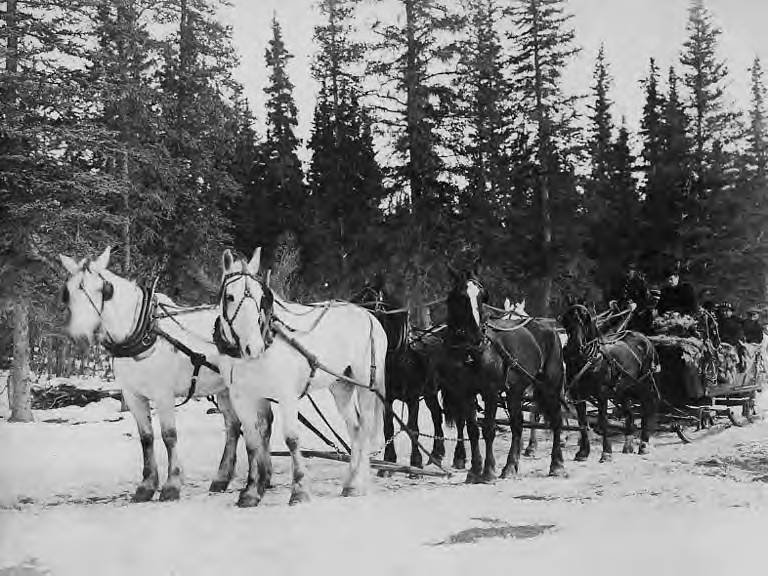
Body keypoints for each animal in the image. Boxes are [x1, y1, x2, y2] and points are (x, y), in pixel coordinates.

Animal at [59, 245, 272, 502]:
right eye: (67, 292)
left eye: (105, 290)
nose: (79, 337)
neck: (142, 333)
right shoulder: (132, 395)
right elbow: (146, 437)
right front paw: (146, 486)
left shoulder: (163, 394)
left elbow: (169, 435)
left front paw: (172, 485)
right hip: (224, 390)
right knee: (233, 426)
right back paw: (223, 478)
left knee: (262, 425)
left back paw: (261, 478)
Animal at [214, 250, 384, 506]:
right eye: (230, 296)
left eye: (261, 297)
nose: (253, 347)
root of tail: (368, 315)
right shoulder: (244, 397)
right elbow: (253, 442)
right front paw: (251, 492)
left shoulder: (287, 395)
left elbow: (292, 439)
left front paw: (299, 490)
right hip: (341, 385)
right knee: (354, 428)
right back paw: (350, 481)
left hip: (365, 383)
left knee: (364, 427)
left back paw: (357, 483)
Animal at [352, 284, 448, 472]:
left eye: (368, 301)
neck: (399, 357)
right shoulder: (387, 398)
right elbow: (388, 428)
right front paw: (388, 463)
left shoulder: (413, 398)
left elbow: (413, 429)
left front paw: (415, 464)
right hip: (430, 393)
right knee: (436, 415)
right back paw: (436, 455)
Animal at [438, 270, 564, 482]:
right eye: (461, 296)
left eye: (483, 297)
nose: (477, 336)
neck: (471, 352)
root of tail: (550, 330)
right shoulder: (464, 392)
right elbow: (472, 429)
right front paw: (474, 470)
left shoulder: (490, 391)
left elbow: (488, 428)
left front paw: (488, 471)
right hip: (515, 392)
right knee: (517, 424)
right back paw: (510, 466)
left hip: (550, 387)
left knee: (556, 420)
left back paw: (557, 464)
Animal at [560, 304, 660, 462]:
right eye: (567, 322)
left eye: (584, 322)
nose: (573, 349)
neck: (590, 360)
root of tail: (645, 339)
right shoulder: (578, 396)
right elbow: (583, 423)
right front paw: (583, 452)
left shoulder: (602, 394)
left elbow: (603, 421)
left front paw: (606, 453)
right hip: (623, 391)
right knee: (629, 414)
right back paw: (628, 445)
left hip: (643, 384)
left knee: (647, 408)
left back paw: (644, 444)